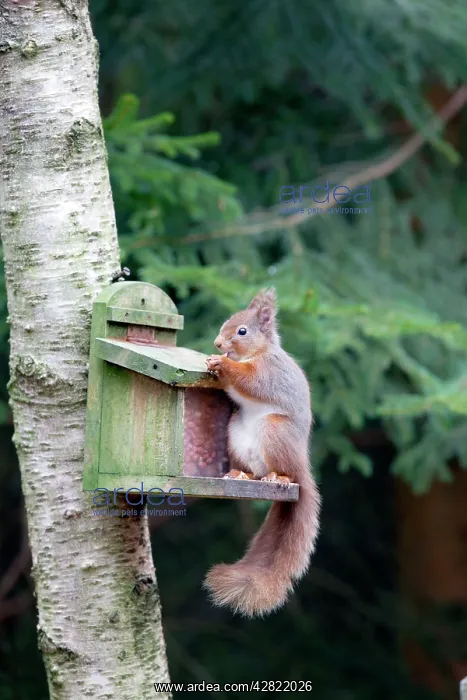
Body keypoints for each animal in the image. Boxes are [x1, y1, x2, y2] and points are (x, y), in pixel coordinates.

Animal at [203, 288, 320, 617]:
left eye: (242, 331)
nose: (217, 344)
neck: (255, 353)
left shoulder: (269, 373)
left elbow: (250, 381)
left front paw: (222, 363)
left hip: (274, 432)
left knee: (286, 472)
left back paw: (278, 478)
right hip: (235, 434)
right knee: (252, 471)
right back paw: (239, 473)